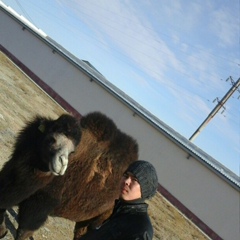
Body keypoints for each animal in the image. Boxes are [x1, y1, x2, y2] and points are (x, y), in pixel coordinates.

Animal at [0, 111, 139, 239]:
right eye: (52, 139)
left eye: (72, 151)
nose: (61, 165)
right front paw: (2, 231)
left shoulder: (42, 202)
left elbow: (24, 231)